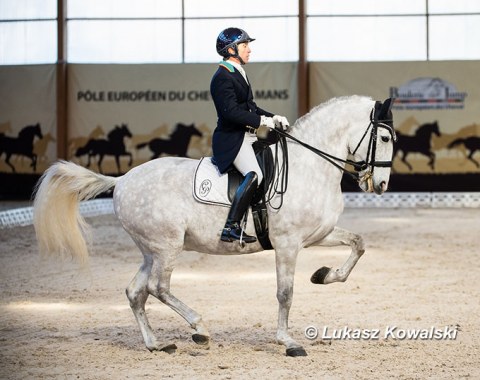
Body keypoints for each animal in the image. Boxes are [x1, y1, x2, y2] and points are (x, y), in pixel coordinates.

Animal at [32, 95, 394, 356]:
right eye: (386, 137)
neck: (310, 166)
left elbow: (359, 243)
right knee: (158, 288)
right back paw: (200, 329)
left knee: (136, 292)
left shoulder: (317, 235)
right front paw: (288, 342)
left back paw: (156, 344)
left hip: (151, 250)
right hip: (167, 246)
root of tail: (121, 180)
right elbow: (285, 293)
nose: (381, 185)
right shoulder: (288, 243)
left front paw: (324, 275)